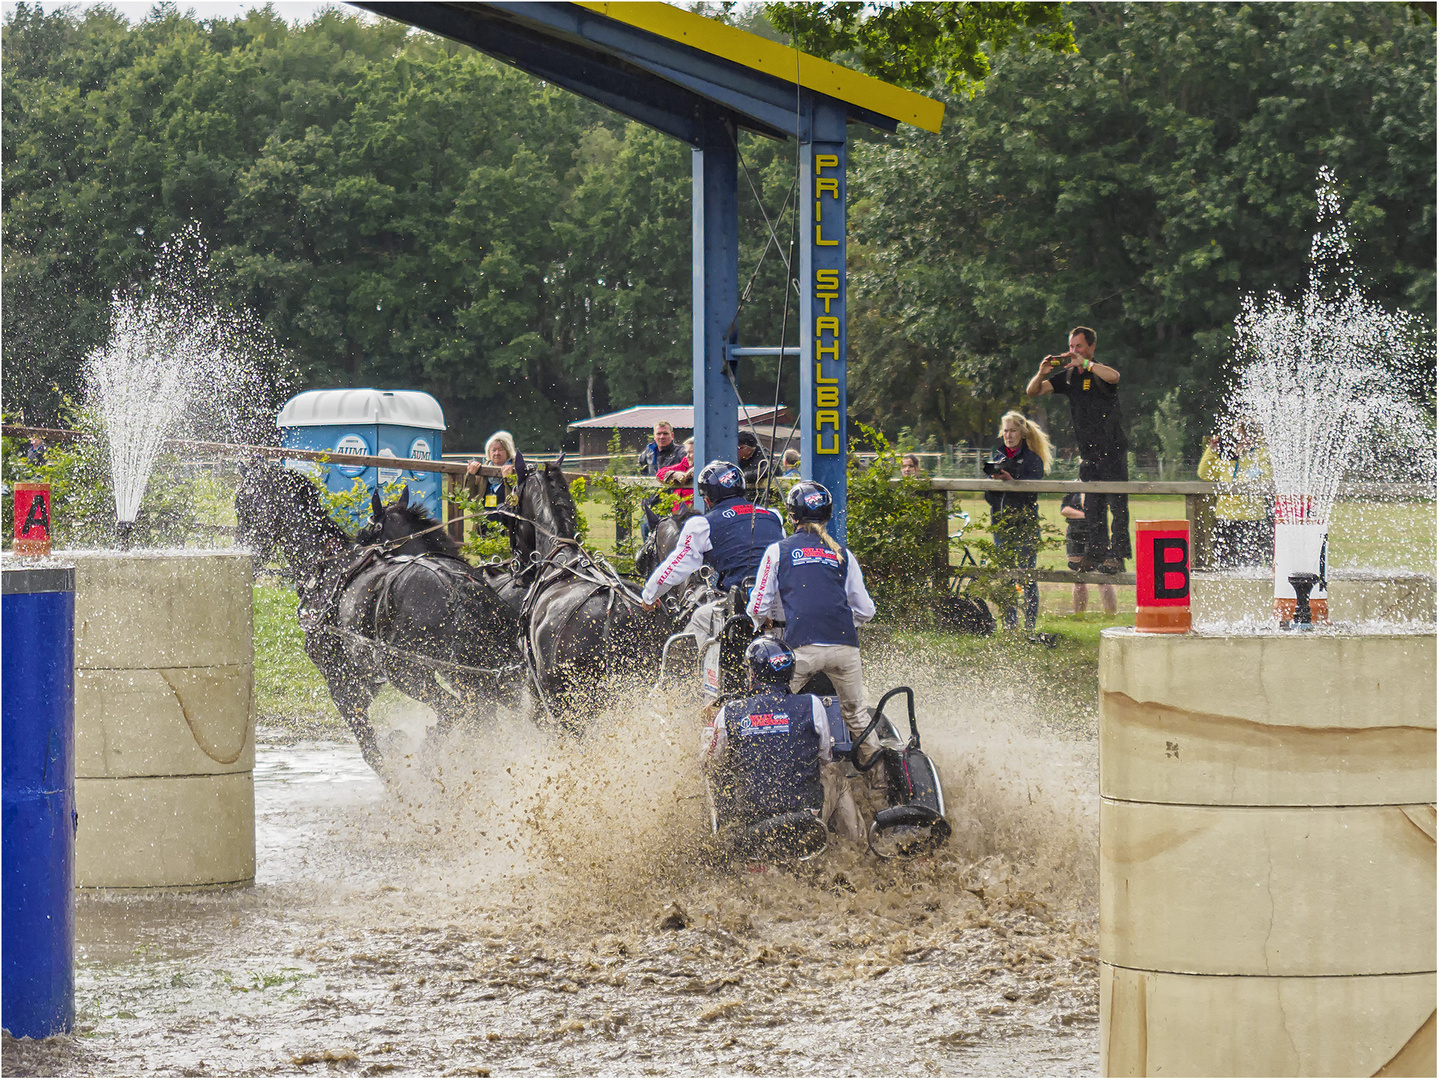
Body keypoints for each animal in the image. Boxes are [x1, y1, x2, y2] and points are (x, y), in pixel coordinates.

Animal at [235, 460, 523, 770]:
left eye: (242, 504)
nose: (241, 552)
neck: (325, 565)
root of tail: (456, 587)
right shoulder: (367, 677)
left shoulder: (340, 678)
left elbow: (369, 746)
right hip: (472, 673)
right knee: (481, 716)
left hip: (409, 673)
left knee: (459, 712)